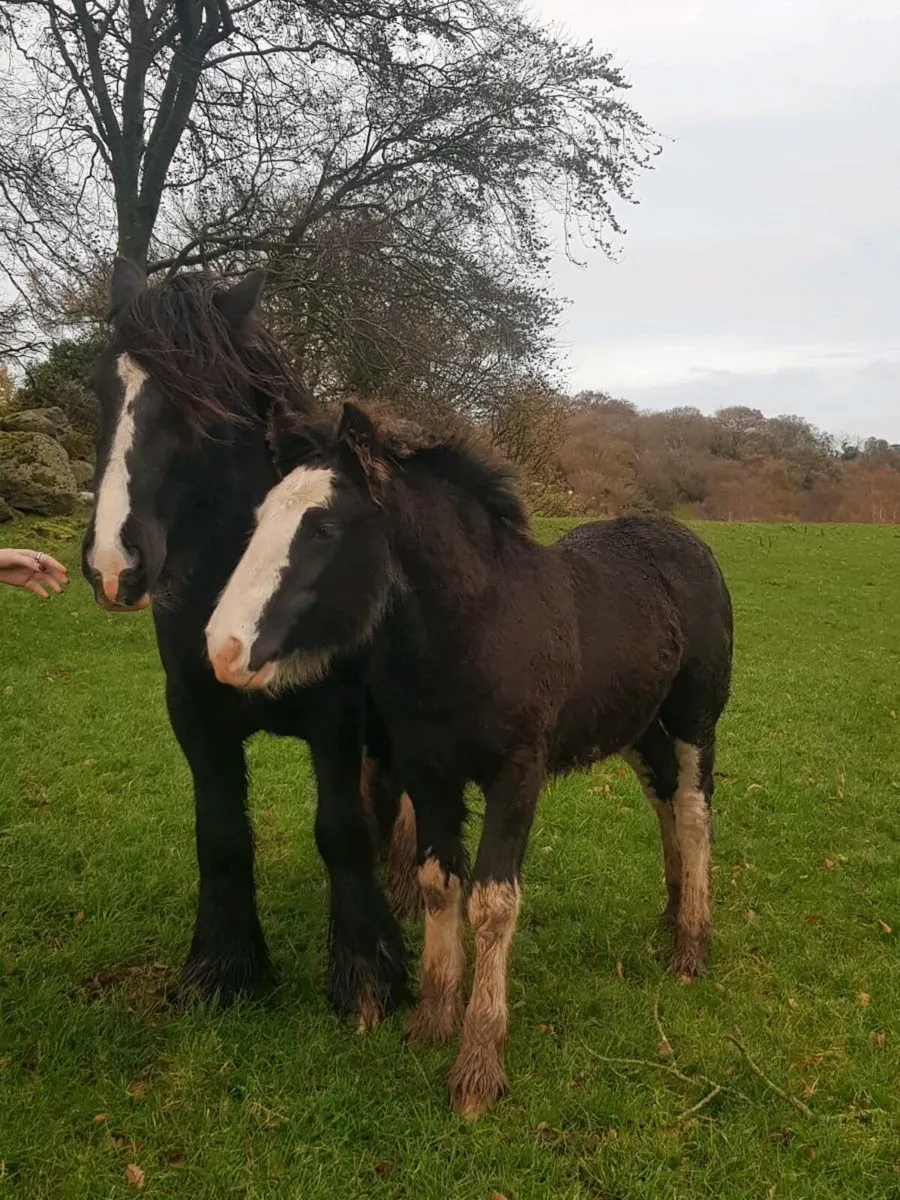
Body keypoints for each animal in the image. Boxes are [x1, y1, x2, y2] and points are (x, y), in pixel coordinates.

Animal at [81, 260, 416, 1026]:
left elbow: (340, 830)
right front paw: (223, 969)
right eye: (101, 387)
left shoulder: (334, 718)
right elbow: (222, 834)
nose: (115, 563)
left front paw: (368, 975)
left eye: (199, 403)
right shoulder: (194, 715)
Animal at [204, 399, 734, 1114]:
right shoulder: (428, 774)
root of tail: (684, 539)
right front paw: (430, 1021)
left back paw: (690, 948)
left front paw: (478, 1066)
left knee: (694, 810)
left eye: (324, 526)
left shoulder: (517, 777)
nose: (222, 648)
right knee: (664, 799)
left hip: (693, 719)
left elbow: (493, 902)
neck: (477, 630)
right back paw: (672, 916)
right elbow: (438, 884)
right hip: (636, 728)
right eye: (260, 517)